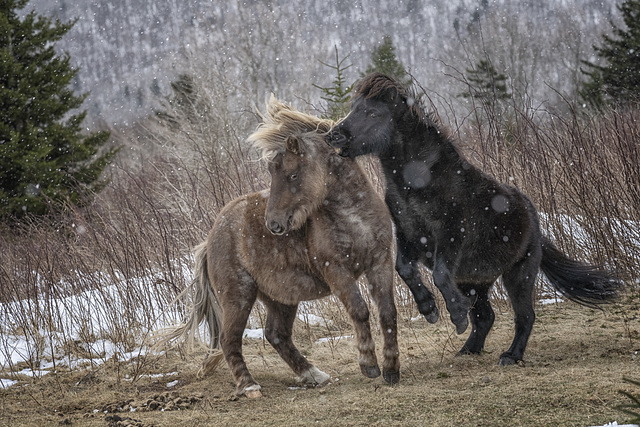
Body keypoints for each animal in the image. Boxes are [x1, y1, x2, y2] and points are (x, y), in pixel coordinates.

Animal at [159, 96, 400, 398]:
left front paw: (392, 369)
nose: (273, 224)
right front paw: (368, 365)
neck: (354, 219)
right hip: (238, 295)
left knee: (276, 334)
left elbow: (387, 313)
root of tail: (210, 238)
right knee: (229, 339)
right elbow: (360, 310)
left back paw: (314, 375)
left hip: (280, 297)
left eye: (292, 175)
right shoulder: (337, 272)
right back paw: (249, 385)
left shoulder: (380, 262)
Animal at [328, 72, 624, 364]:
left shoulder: (451, 235)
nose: (334, 136)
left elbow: (439, 274)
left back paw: (511, 356)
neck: (418, 179)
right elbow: (405, 269)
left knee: (525, 316)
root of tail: (532, 215)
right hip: (474, 280)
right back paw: (467, 350)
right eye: (354, 108)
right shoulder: (407, 234)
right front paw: (429, 309)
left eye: (373, 113)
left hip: (519, 274)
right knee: (485, 316)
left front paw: (456, 316)